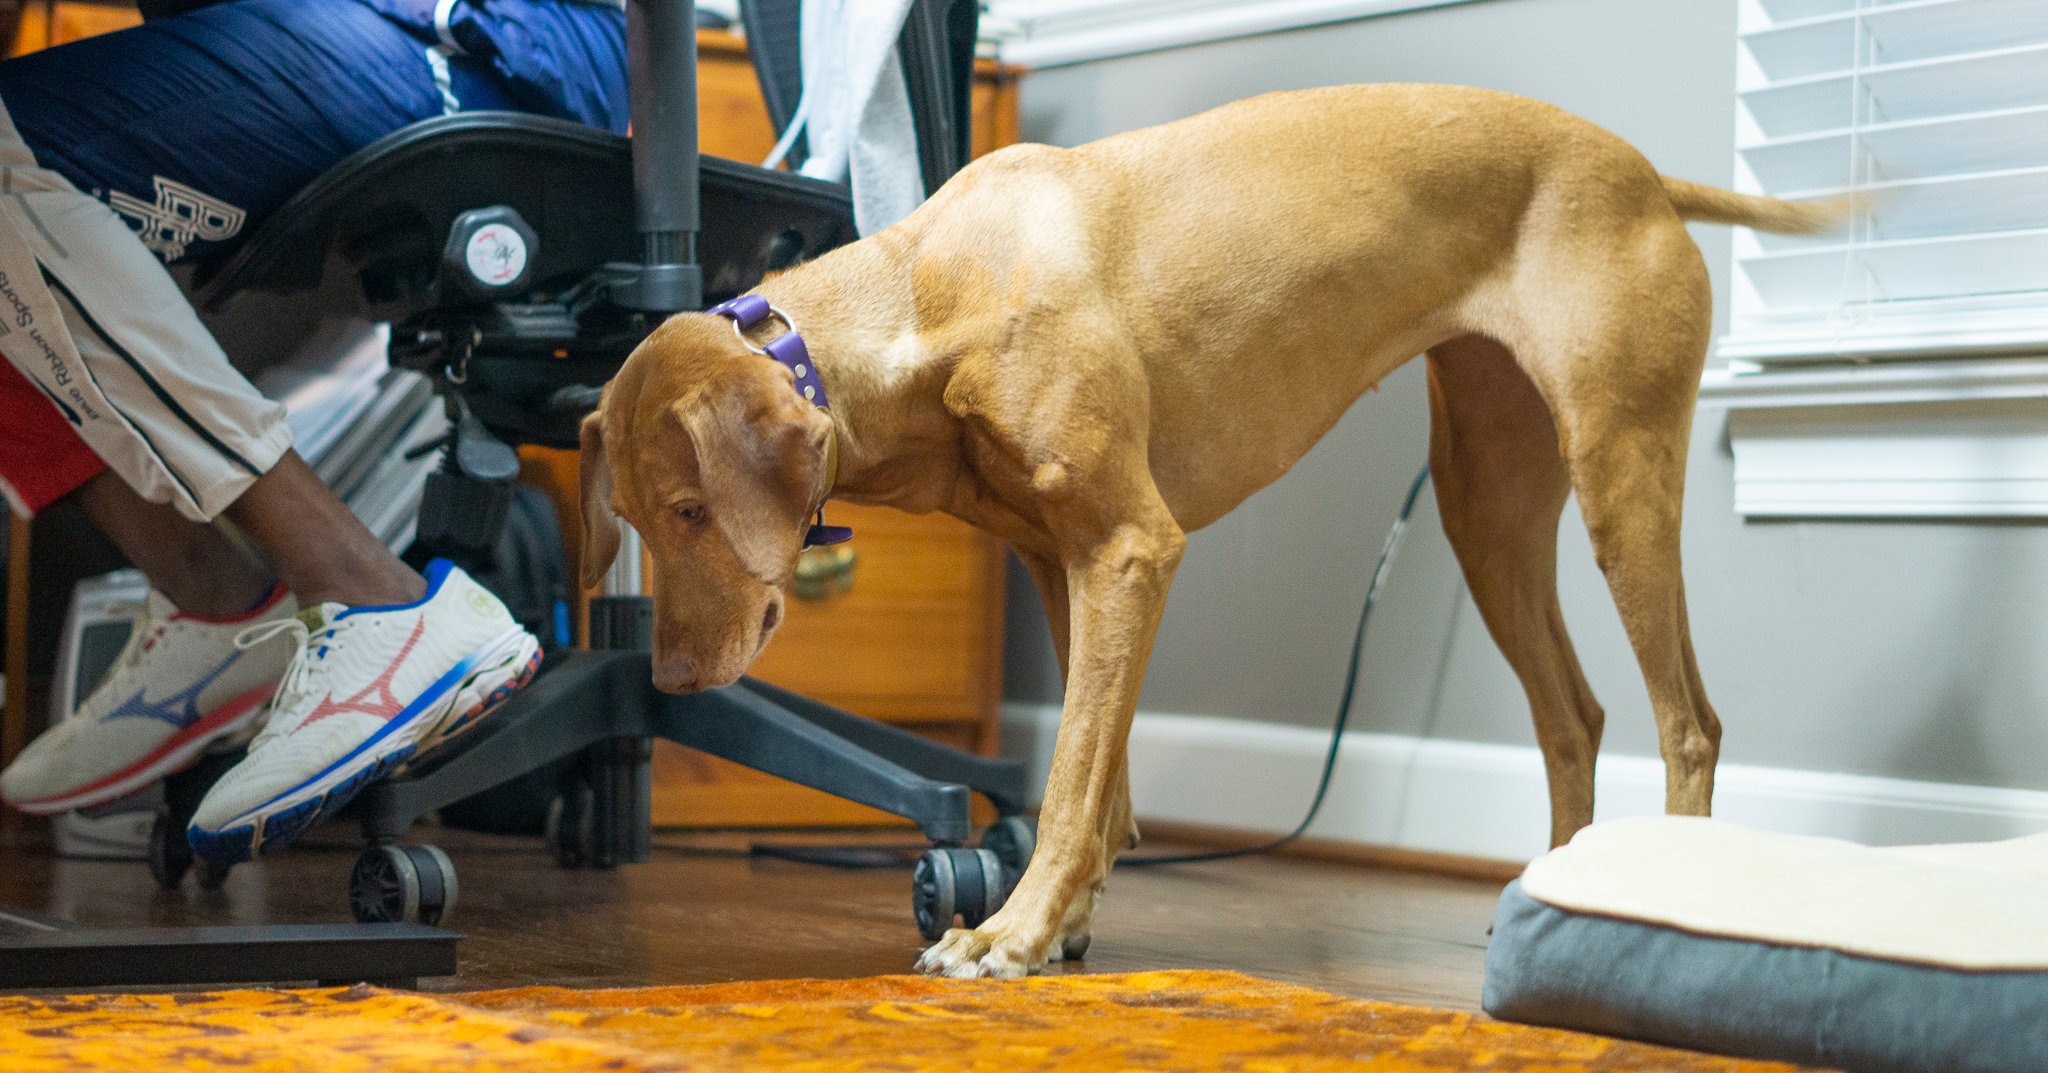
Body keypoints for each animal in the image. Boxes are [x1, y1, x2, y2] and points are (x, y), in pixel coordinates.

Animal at [577, 86, 1843, 978]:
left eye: (692, 511)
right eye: (634, 519)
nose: (664, 682)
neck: (924, 296)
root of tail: (1643, 173)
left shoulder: (1130, 548)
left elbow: (1073, 772)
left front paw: (1009, 929)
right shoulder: (1066, 567)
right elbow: (1104, 775)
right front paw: (1062, 922)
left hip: (1618, 478)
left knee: (1687, 723)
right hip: (1486, 509)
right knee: (1573, 715)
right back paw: (1551, 900)